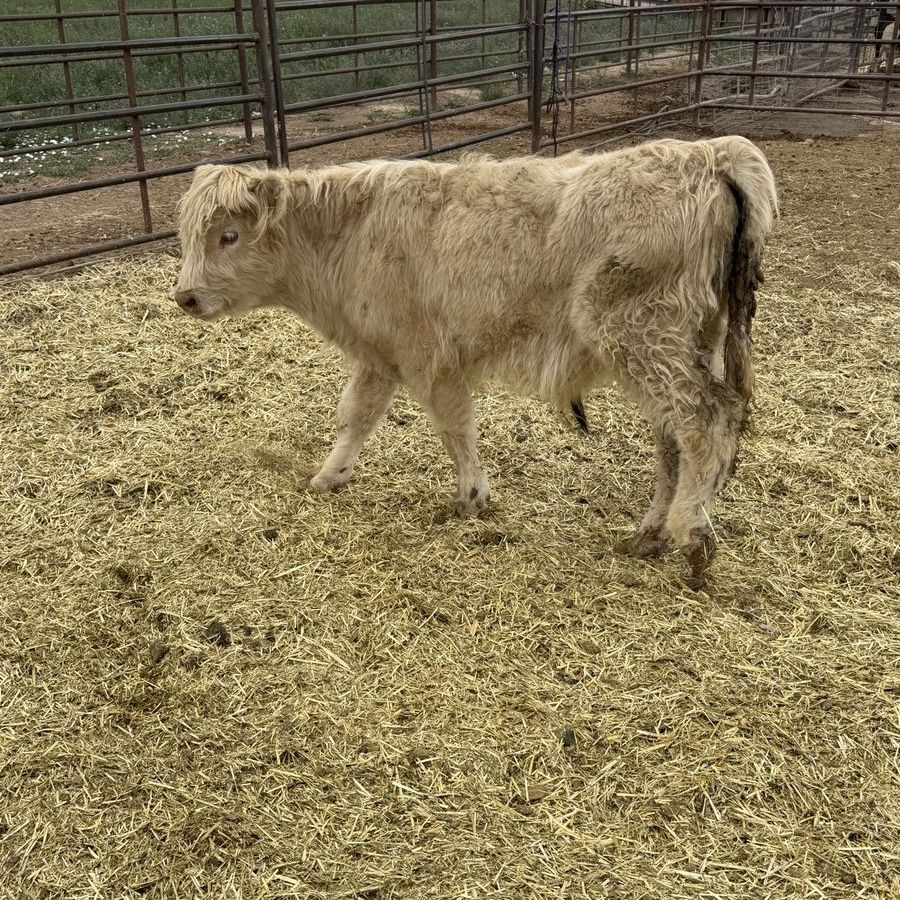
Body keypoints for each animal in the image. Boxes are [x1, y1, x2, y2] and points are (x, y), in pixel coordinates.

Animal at [174, 136, 778, 587]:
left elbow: (454, 426)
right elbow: (357, 416)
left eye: (229, 235)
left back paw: (692, 535)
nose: (185, 297)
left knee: (705, 419)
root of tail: (710, 152)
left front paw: (472, 497)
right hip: (682, 345)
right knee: (674, 437)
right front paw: (329, 475)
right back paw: (649, 535)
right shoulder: (381, 357)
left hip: (645, 338)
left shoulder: (430, 358)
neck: (352, 232)